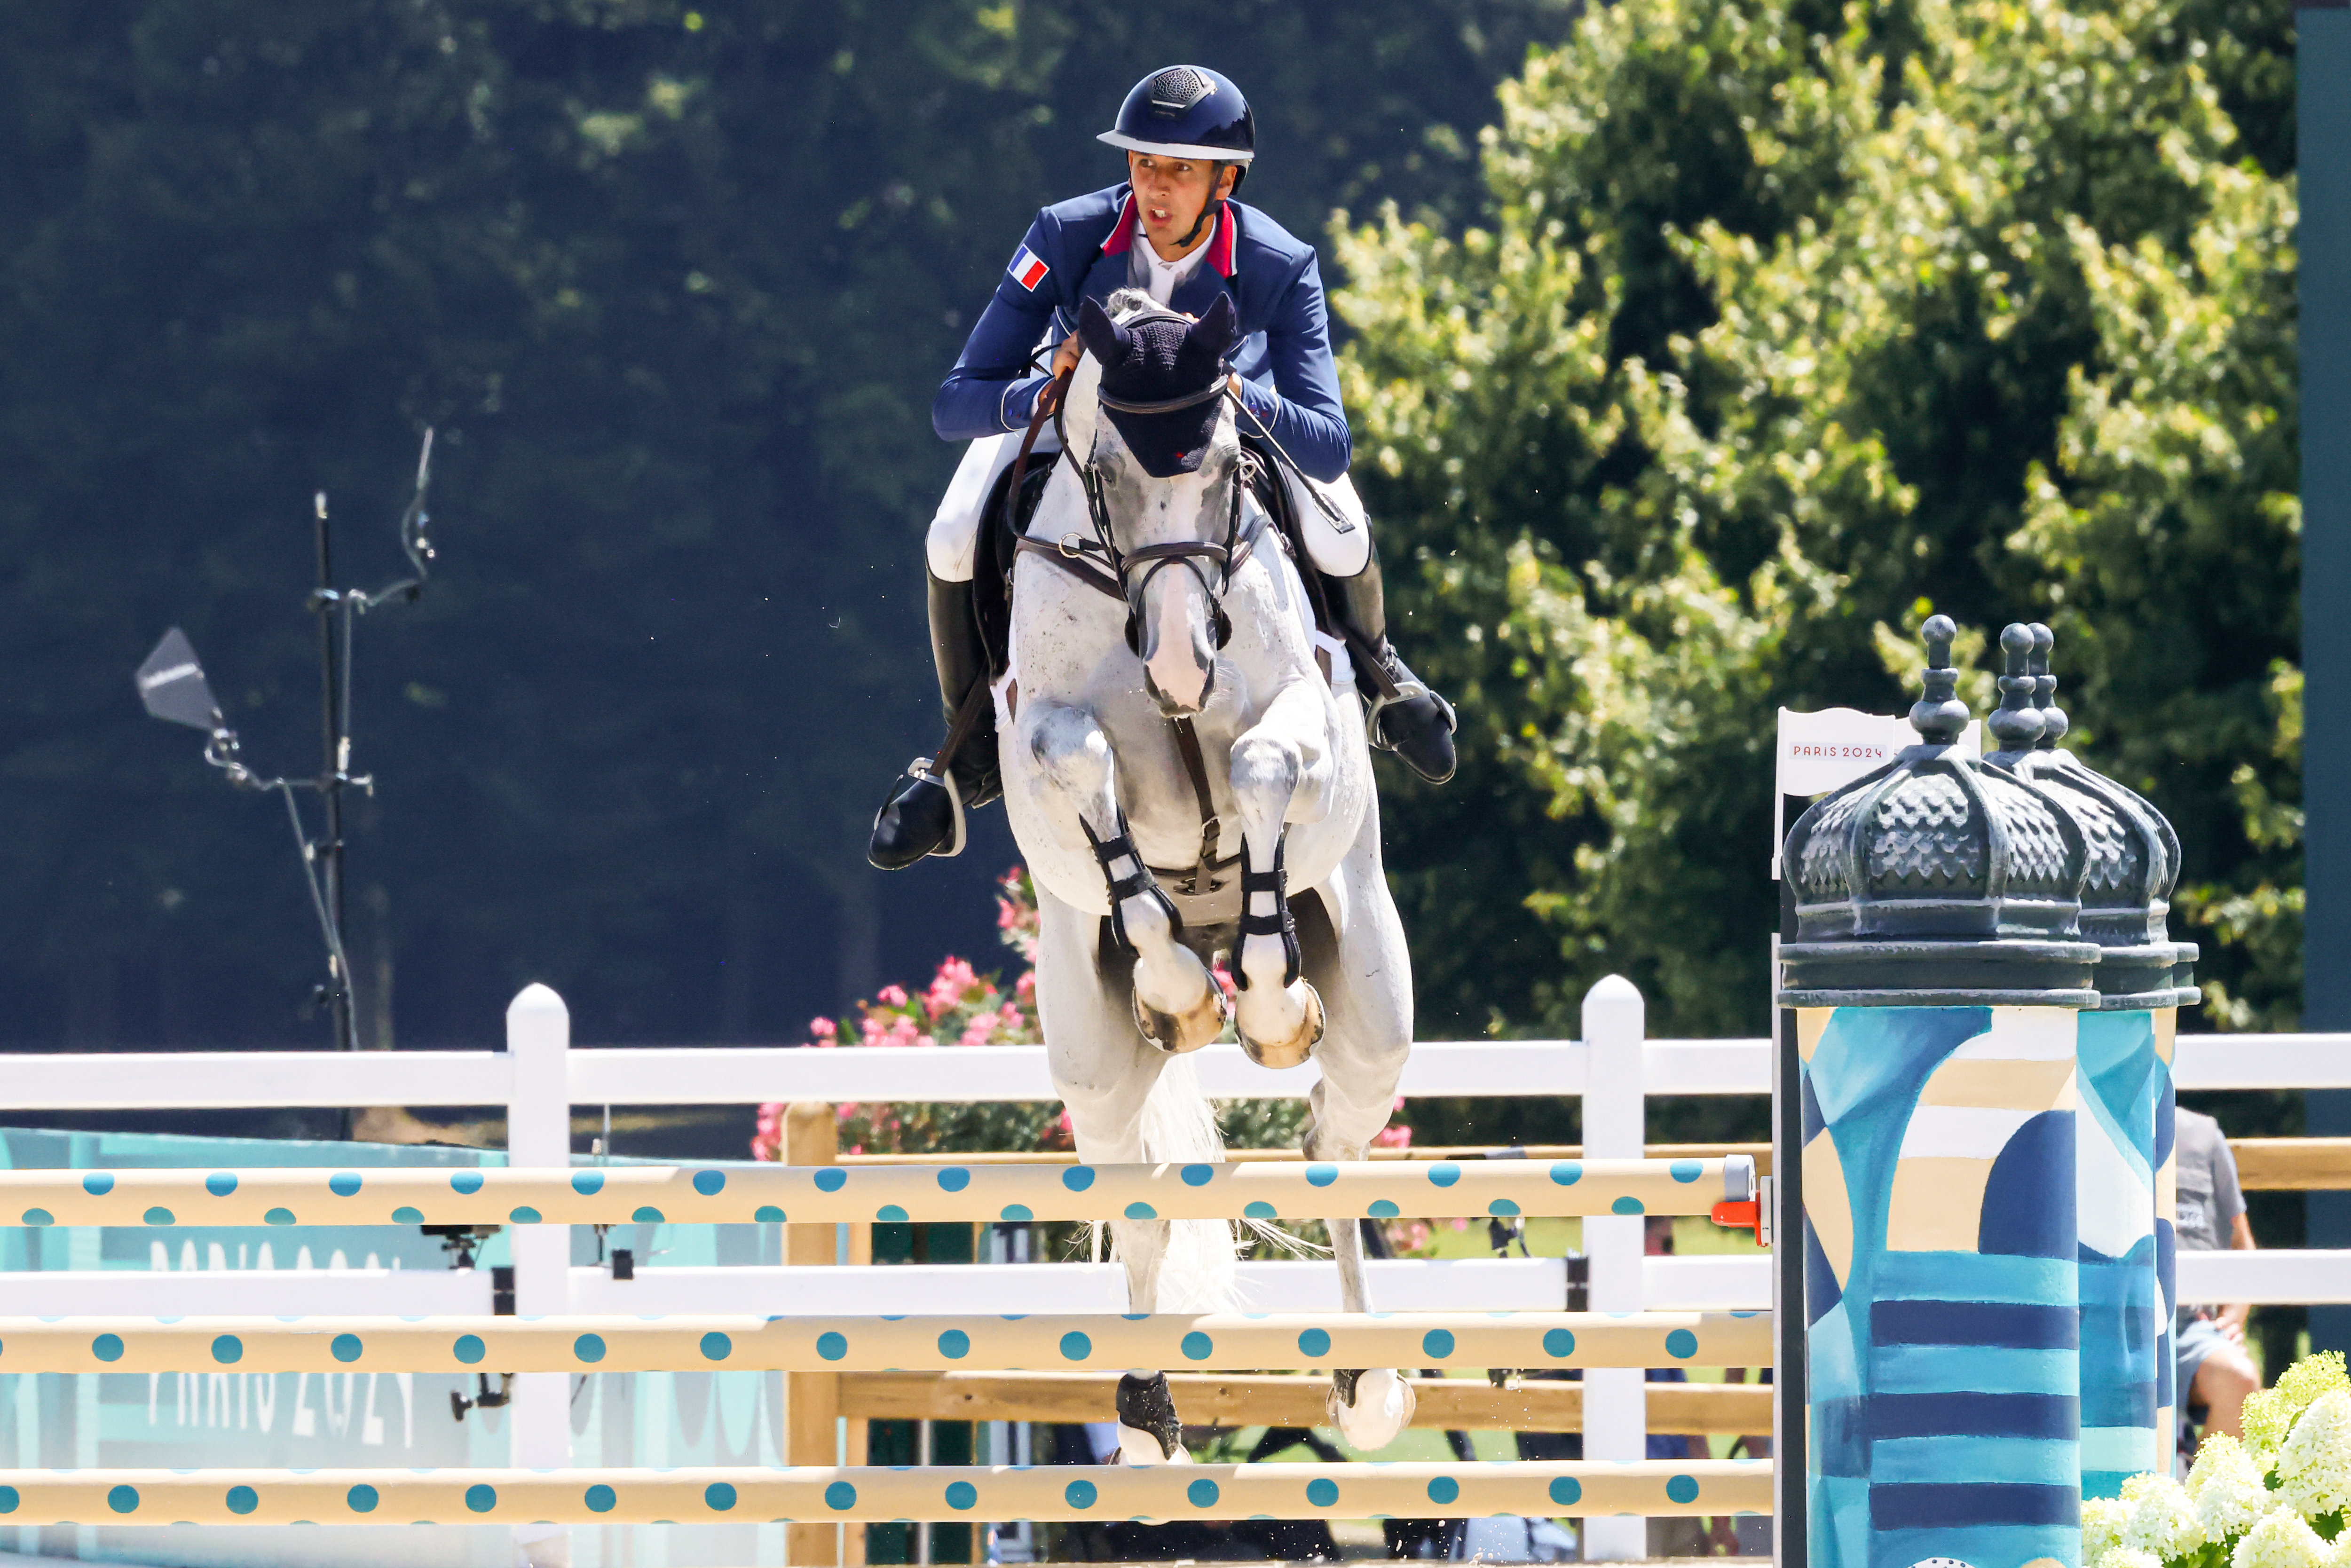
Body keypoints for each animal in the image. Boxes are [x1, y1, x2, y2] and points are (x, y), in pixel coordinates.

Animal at [992, 294, 1411, 1476]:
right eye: (1108, 475)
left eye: (1229, 465)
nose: (1182, 660)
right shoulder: (1047, 742)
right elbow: (1083, 765)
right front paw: (1180, 990)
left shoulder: (1298, 720)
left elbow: (1265, 763)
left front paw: (1265, 1000)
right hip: (1087, 1049)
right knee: (1134, 1190)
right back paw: (1143, 1410)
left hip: (1374, 991)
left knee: (1333, 1144)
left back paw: (1368, 1381)